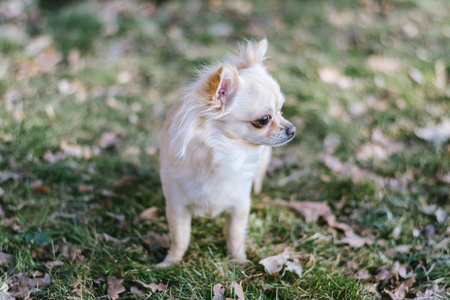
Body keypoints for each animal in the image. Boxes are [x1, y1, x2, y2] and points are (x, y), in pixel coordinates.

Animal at [158, 39, 296, 268]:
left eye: (282, 109)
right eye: (264, 120)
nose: (293, 129)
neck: (227, 152)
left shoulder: (240, 204)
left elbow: (235, 235)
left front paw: (239, 261)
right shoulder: (176, 206)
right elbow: (180, 238)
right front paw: (170, 262)